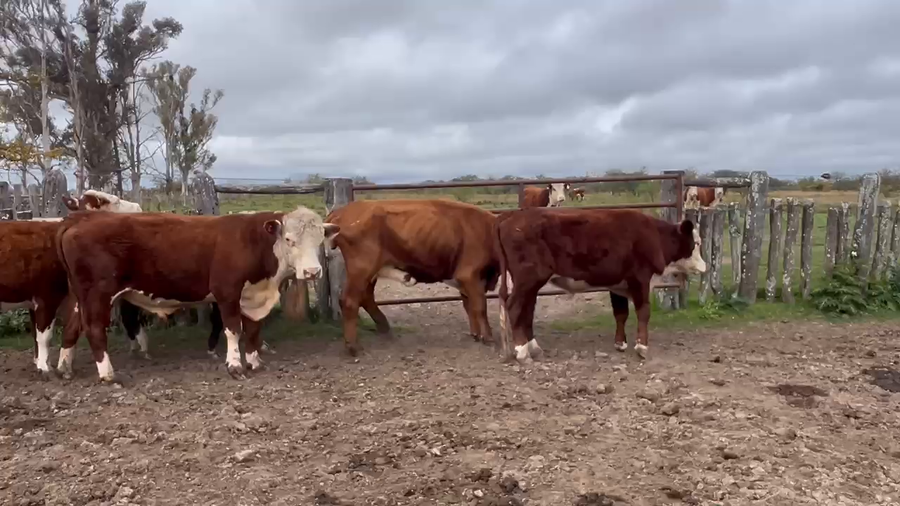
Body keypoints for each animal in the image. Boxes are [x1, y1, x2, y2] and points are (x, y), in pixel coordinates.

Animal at [0, 191, 144, 377]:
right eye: (114, 202)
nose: (137, 208)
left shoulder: (36, 301)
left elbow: (37, 336)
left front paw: (41, 363)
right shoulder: (47, 297)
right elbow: (44, 336)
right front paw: (44, 368)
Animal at [54, 206, 339, 382]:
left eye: (319, 240)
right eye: (289, 239)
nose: (312, 272)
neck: (253, 242)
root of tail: (78, 221)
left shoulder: (253, 297)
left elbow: (253, 330)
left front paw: (254, 361)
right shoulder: (227, 293)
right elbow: (233, 330)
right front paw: (235, 366)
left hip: (81, 297)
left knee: (72, 327)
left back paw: (64, 368)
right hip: (98, 294)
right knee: (93, 328)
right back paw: (107, 374)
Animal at [324, 199, 499, 357]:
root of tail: (343, 211)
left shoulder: (466, 281)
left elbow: (469, 305)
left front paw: (476, 334)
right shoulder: (469, 276)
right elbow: (479, 306)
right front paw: (488, 337)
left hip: (370, 272)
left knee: (366, 297)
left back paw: (383, 326)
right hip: (362, 269)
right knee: (350, 301)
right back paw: (353, 346)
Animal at [494, 208, 706, 363]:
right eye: (696, 243)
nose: (705, 266)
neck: (654, 236)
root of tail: (510, 216)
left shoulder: (618, 283)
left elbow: (620, 313)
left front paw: (620, 344)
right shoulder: (640, 278)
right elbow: (644, 311)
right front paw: (642, 347)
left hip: (527, 283)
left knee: (526, 311)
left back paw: (533, 348)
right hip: (528, 278)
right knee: (515, 308)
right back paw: (522, 352)